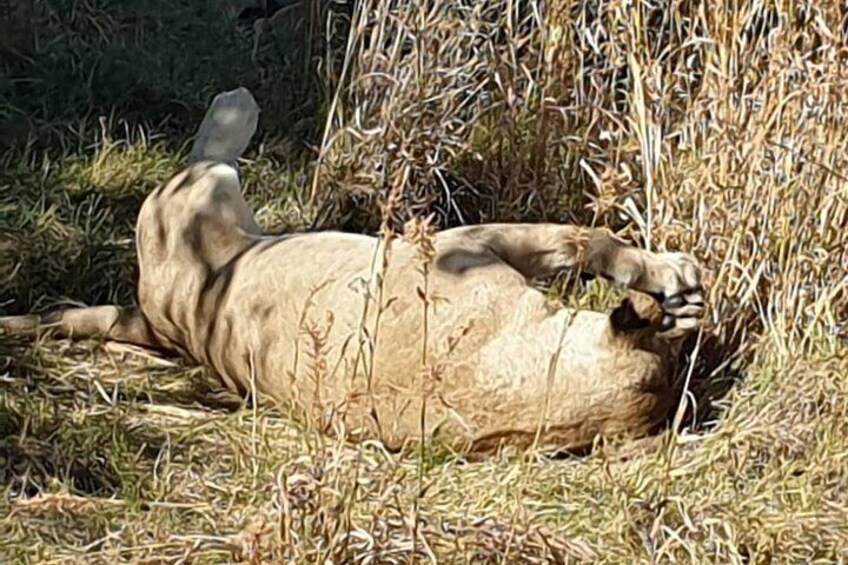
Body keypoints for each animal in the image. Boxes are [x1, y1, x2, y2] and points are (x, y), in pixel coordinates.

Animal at [1, 90, 704, 456]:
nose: (688, 324)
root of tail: (153, 313)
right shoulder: (466, 242)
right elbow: (583, 239)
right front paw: (669, 274)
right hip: (199, 194)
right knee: (210, 152)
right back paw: (237, 105)